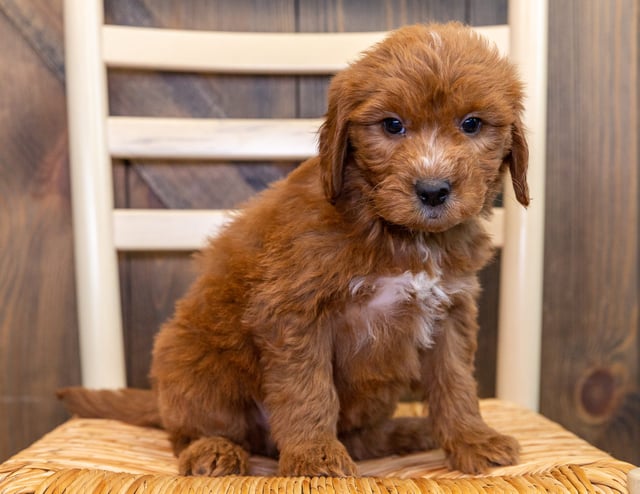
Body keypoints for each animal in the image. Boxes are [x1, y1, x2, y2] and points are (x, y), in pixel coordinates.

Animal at [60, 21, 528, 476]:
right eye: (392, 125)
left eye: (472, 124)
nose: (432, 190)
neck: (399, 232)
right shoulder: (294, 311)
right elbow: (308, 390)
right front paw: (315, 456)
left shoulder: (451, 309)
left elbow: (456, 382)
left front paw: (473, 440)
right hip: (192, 363)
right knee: (190, 430)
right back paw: (212, 449)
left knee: (364, 438)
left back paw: (405, 433)